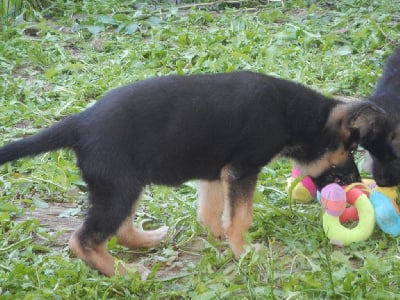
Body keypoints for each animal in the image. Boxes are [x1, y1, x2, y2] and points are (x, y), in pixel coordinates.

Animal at [0, 71, 396, 276]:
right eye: (348, 152)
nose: (359, 184)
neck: (292, 114)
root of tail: (79, 124)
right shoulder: (241, 169)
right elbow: (240, 216)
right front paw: (244, 251)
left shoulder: (215, 173)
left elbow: (211, 212)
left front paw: (219, 239)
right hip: (118, 188)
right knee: (83, 239)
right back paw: (125, 274)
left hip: (124, 185)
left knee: (121, 228)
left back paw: (147, 241)